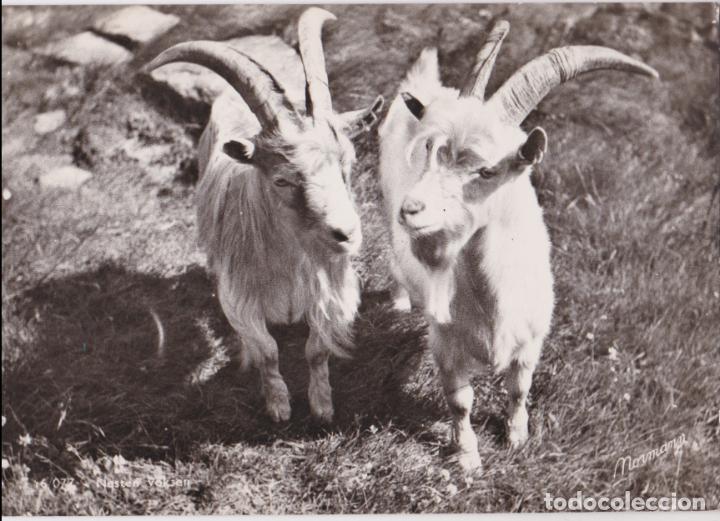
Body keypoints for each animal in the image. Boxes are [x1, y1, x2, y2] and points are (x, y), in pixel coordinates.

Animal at [145, 8, 383, 423]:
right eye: (282, 179)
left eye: (347, 165)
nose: (347, 234)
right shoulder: (240, 301)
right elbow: (268, 352)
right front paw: (279, 406)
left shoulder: (331, 294)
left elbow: (316, 350)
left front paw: (322, 406)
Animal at [378, 21, 658, 472]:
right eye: (430, 149)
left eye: (487, 171)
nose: (412, 209)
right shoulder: (446, 345)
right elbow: (460, 402)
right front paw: (468, 457)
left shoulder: (531, 338)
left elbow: (520, 388)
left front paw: (517, 437)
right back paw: (401, 302)